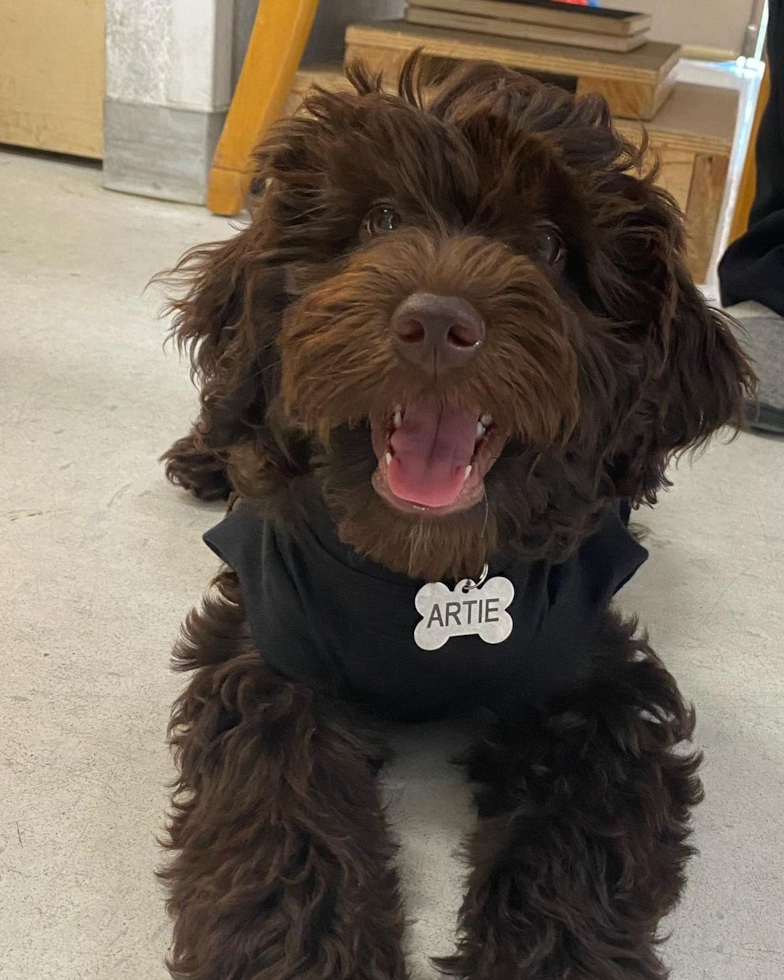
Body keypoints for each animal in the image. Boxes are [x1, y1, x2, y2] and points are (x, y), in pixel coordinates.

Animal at [158, 55, 752, 980]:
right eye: (382, 219)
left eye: (549, 245)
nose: (436, 324)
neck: (426, 577)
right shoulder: (271, 656)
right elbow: (286, 828)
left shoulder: (595, 681)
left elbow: (577, 845)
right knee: (232, 414)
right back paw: (204, 455)